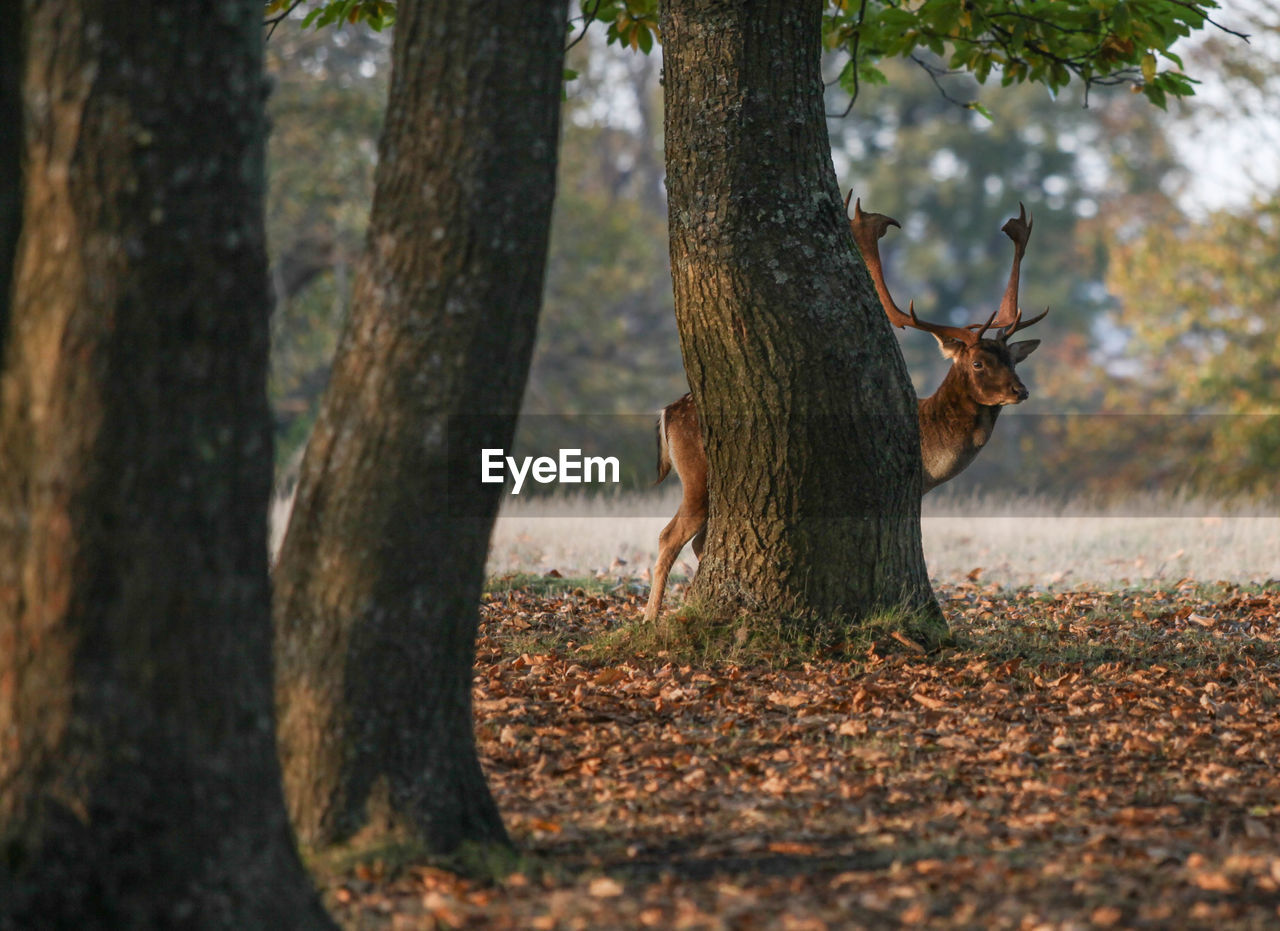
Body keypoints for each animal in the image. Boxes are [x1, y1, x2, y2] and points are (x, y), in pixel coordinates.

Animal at [645, 193, 1044, 622]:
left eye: (1012, 359)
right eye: (978, 363)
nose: (1021, 390)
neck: (931, 443)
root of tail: (667, 413)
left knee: (698, 541)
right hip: (698, 476)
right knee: (669, 535)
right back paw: (650, 617)